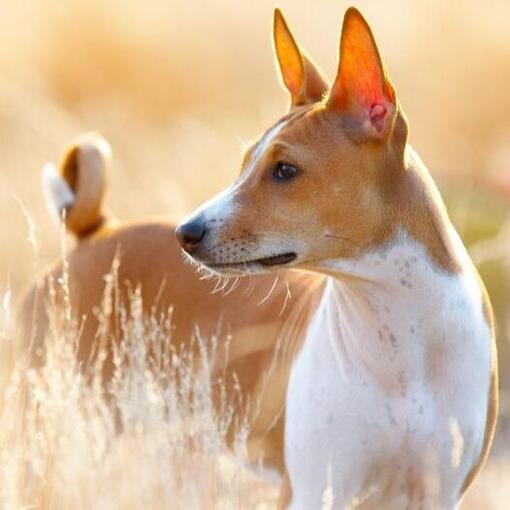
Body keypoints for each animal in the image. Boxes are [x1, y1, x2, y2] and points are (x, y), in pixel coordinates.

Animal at [176, 7, 498, 510]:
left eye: (285, 170)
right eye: (245, 162)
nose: (186, 232)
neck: (400, 344)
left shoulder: (437, 491)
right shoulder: (314, 490)